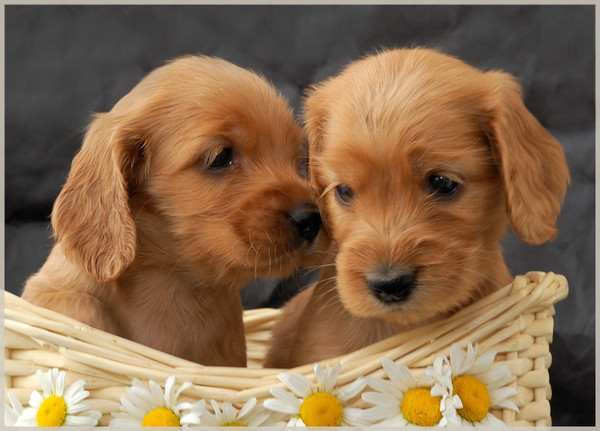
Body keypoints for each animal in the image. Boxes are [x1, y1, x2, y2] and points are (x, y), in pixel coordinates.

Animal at [21, 55, 327, 367]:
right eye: (221, 157)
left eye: (298, 160)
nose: (311, 219)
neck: (171, 279)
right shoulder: (45, 291)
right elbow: (77, 306)